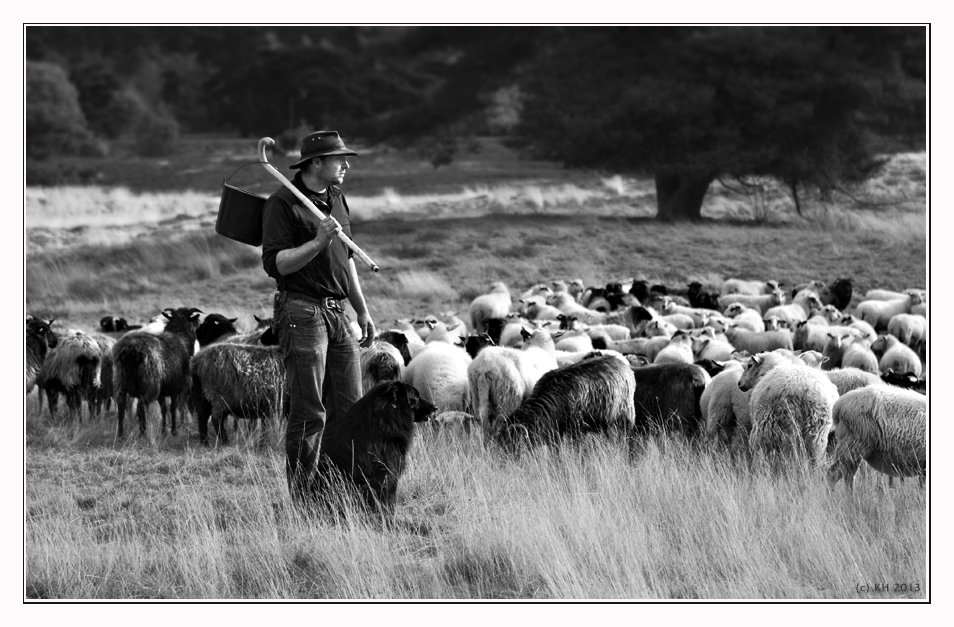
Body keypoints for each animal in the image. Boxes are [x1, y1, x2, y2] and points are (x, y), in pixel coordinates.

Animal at [112, 308, 201, 436]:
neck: (180, 337)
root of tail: (132, 349)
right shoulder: (176, 387)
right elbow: (172, 408)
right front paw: (174, 431)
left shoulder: (163, 391)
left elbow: (164, 409)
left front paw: (164, 431)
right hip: (150, 383)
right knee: (141, 406)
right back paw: (143, 433)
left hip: (121, 380)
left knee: (121, 405)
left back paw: (120, 434)